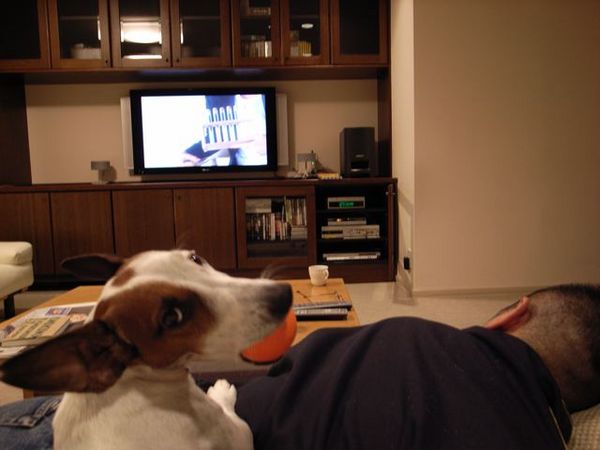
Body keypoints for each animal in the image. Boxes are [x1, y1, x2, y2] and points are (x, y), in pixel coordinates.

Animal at [0, 249, 292, 450]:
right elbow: (229, 410)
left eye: (195, 258)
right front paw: (221, 390)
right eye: (172, 317)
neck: (136, 380)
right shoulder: (238, 433)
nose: (285, 295)